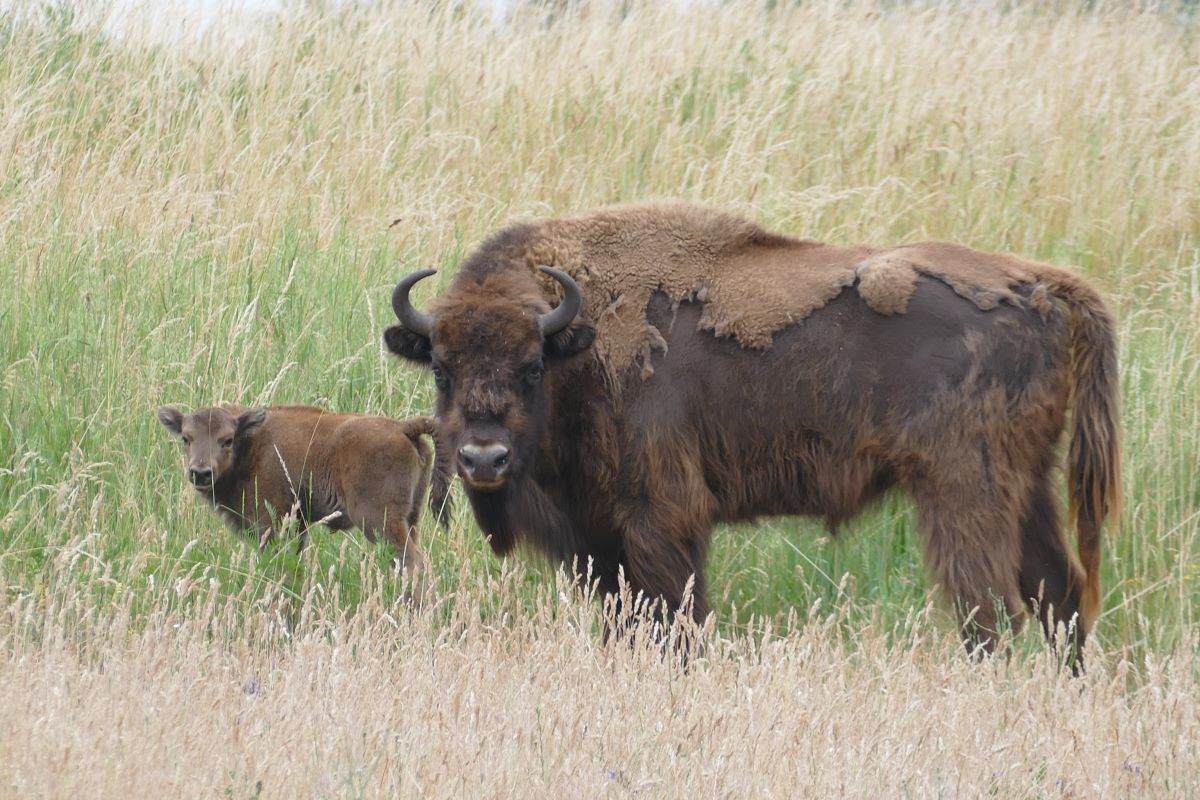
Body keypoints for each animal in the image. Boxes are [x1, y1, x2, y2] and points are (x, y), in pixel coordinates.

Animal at [154, 407, 446, 594]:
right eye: (186, 438)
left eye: (227, 439)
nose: (200, 472)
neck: (251, 445)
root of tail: (403, 428)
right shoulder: (299, 525)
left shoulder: (272, 523)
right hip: (411, 518)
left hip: (379, 522)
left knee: (412, 563)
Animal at [386, 203, 1123, 662]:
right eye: (442, 368)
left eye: (531, 366)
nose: (483, 458)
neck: (581, 341)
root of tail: (1045, 285)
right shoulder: (598, 540)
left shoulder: (661, 518)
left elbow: (673, 619)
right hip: (1030, 487)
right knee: (1058, 599)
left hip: (962, 491)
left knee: (988, 612)